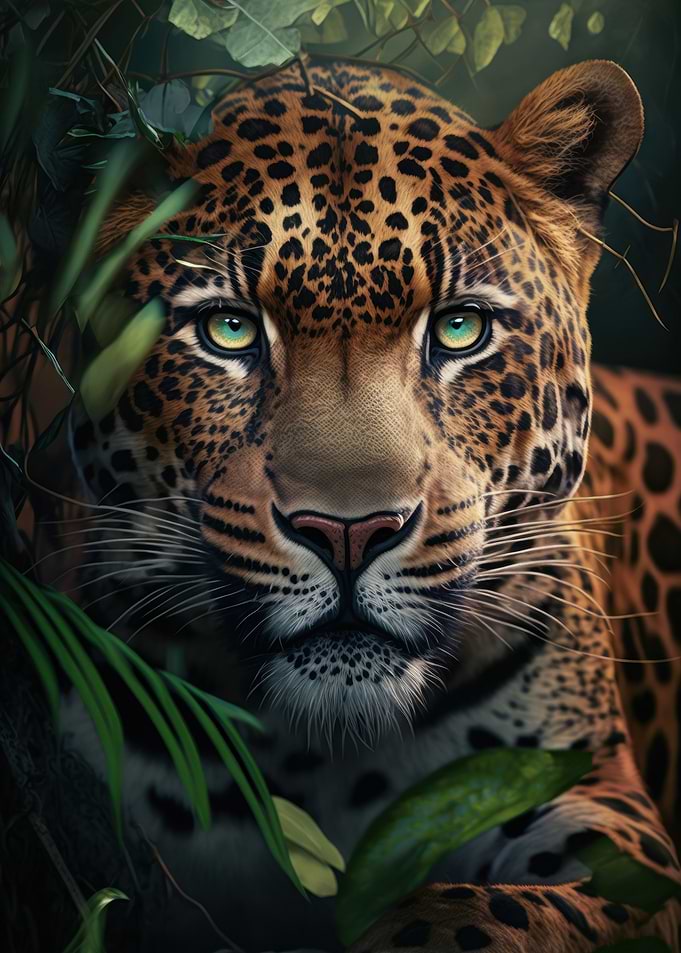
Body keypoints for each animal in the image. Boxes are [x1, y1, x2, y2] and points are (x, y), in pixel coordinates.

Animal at [61, 57, 681, 952]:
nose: (349, 533)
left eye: (459, 329)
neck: (321, 754)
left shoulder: (595, 799)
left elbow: (492, 909)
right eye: (228, 329)